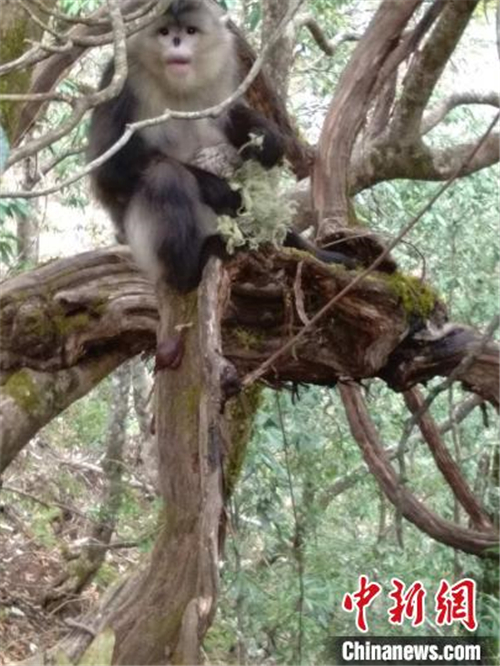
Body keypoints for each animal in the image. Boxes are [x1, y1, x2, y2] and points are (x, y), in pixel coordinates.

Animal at [87, 0, 360, 292]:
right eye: (164, 32)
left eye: (190, 31)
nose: (175, 42)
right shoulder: (123, 81)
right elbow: (110, 172)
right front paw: (223, 191)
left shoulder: (224, 71)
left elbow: (232, 114)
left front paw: (268, 137)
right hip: (147, 250)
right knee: (165, 176)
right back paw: (190, 271)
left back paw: (310, 251)